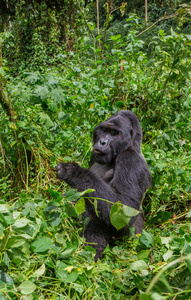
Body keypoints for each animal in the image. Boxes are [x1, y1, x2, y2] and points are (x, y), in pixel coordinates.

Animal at [56, 110, 151, 260]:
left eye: (114, 133)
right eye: (104, 130)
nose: (102, 142)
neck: (131, 145)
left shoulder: (130, 159)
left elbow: (123, 210)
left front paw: (74, 172)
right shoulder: (94, 155)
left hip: (131, 239)